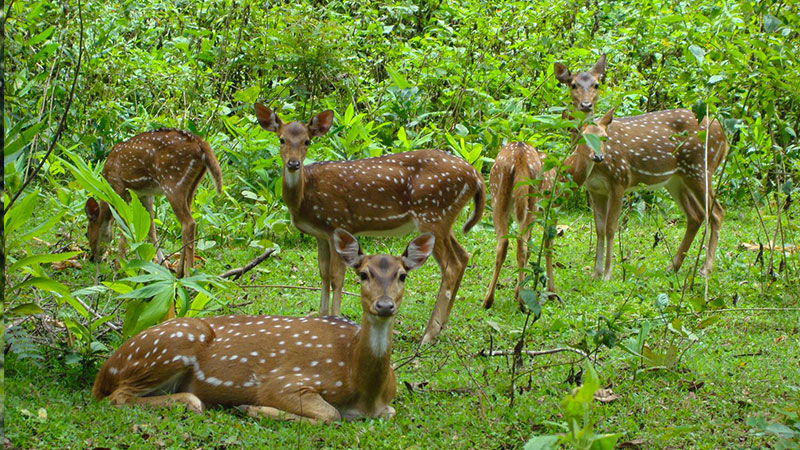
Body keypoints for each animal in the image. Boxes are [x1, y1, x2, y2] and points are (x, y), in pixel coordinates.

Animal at [85, 126, 222, 280]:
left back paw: (188, 274)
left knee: (189, 223)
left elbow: (124, 226)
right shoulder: (145, 194)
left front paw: (119, 267)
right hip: (191, 187)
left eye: (86, 233)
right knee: (186, 223)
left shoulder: (119, 188)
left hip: (172, 182)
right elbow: (151, 228)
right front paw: (162, 265)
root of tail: (201, 144)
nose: (92, 258)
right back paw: (179, 272)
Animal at [92, 230, 438, 424]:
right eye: (363, 274)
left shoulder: (386, 406)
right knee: (118, 397)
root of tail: (104, 371)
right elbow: (331, 414)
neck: (365, 388)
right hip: (174, 343)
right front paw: (252, 408)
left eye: (402, 275)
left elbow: (385, 413)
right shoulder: (285, 381)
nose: (384, 306)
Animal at [253, 103, 484, 346]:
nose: (293, 163)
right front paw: (322, 317)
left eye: (307, 141)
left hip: (432, 213)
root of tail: (476, 176)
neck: (304, 198)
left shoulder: (337, 222)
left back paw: (428, 335)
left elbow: (337, 278)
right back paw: (441, 327)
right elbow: (323, 274)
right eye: (281, 139)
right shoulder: (320, 235)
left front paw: (335, 319)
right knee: (464, 255)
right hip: (444, 219)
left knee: (452, 265)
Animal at [482, 144, 556, 310]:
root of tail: (520, 158)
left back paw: (488, 300)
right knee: (523, 243)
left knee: (504, 242)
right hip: (532, 201)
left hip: (497, 197)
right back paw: (522, 301)